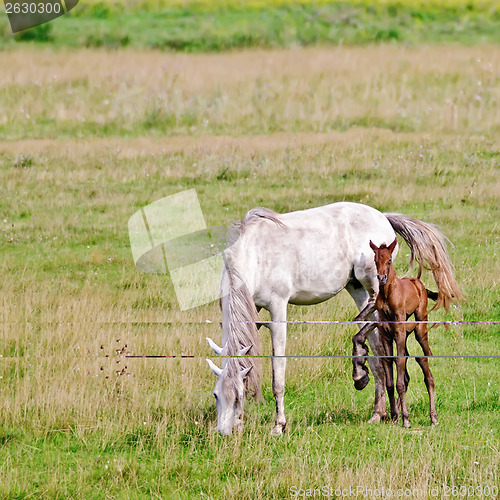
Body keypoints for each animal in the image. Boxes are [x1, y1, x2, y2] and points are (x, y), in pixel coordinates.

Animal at [352, 240, 438, 428]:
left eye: (390, 260)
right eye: (375, 260)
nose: (381, 278)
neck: (387, 295)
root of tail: (419, 283)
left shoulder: (399, 331)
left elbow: (399, 373)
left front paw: (405, 419)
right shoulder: (386, 334)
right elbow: (390, 376)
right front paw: (394, 416)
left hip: (420, 325)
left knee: (426, 359)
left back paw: (433, 417)